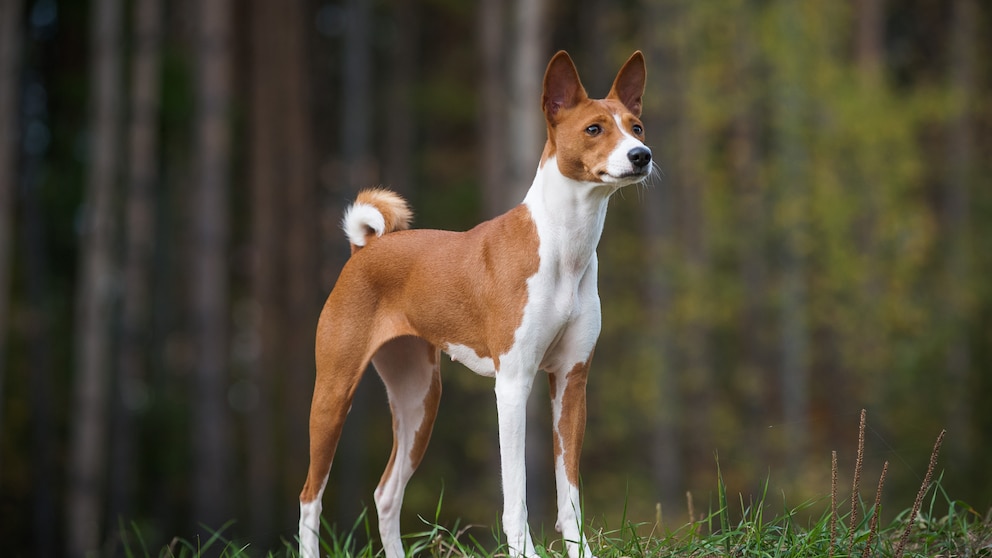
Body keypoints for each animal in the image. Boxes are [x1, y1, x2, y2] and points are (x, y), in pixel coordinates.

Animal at [298, 49, 656, 558]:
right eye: (594, 129)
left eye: (636, 126)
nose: (641, 156)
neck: (565, 248)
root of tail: (364, 249)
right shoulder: (513, 385)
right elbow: (516, 494)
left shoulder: (572, 383)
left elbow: (569, 491)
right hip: (333, 394)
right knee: (311, 496)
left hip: (419, 400)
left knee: (386, 493)